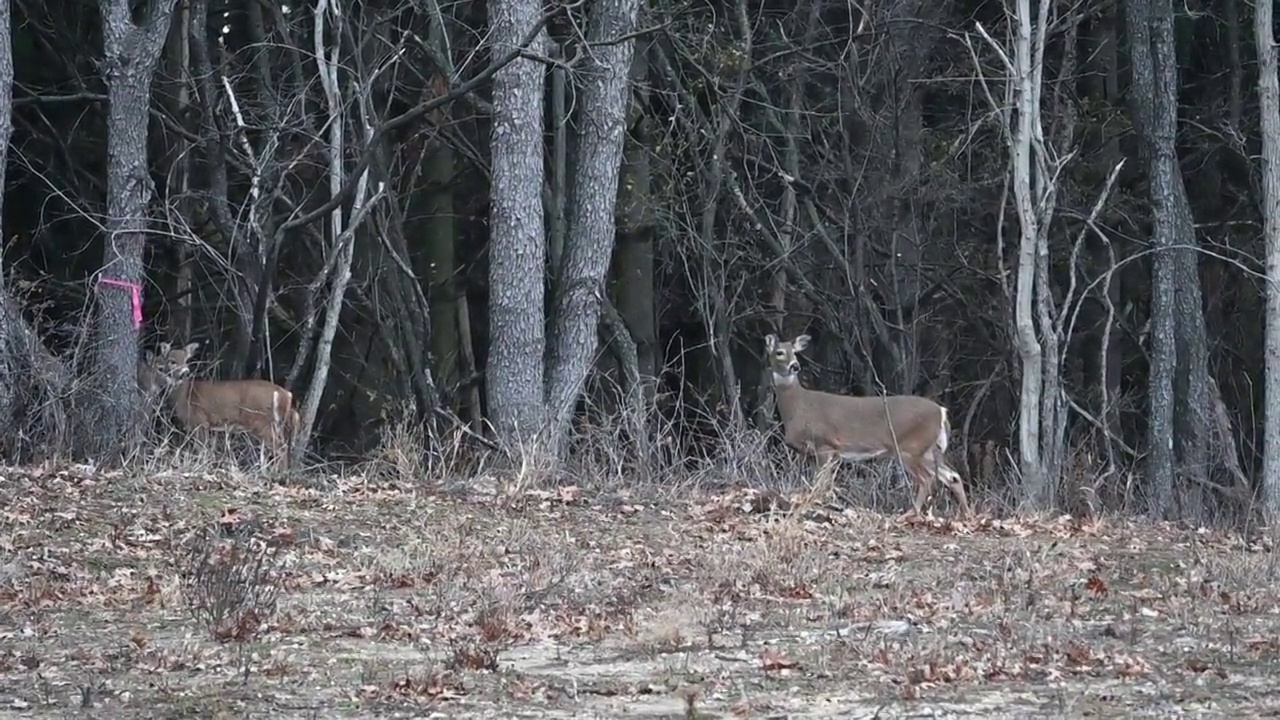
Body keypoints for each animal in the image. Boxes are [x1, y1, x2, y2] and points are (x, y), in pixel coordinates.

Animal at [138, 340, 298, 471]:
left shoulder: (200, 421)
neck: (186, 396)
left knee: (281, 447)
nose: (185, 373)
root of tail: (285, 394)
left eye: (187, 360)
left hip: (261, 421)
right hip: (276, 423)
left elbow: (202, 449)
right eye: (172, 361)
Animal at [768, 330, 967, 515]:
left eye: (795, 353)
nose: (795, 366)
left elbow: (821, 484)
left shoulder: (825, 444)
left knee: (928, 479)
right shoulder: (814, 454)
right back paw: (966, 513)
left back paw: (910, 513)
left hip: (911, 447)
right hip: (929, 449)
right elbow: (819, 483)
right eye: (779, 352)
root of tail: (942, 412)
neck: (797, 407)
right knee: (953, 476)